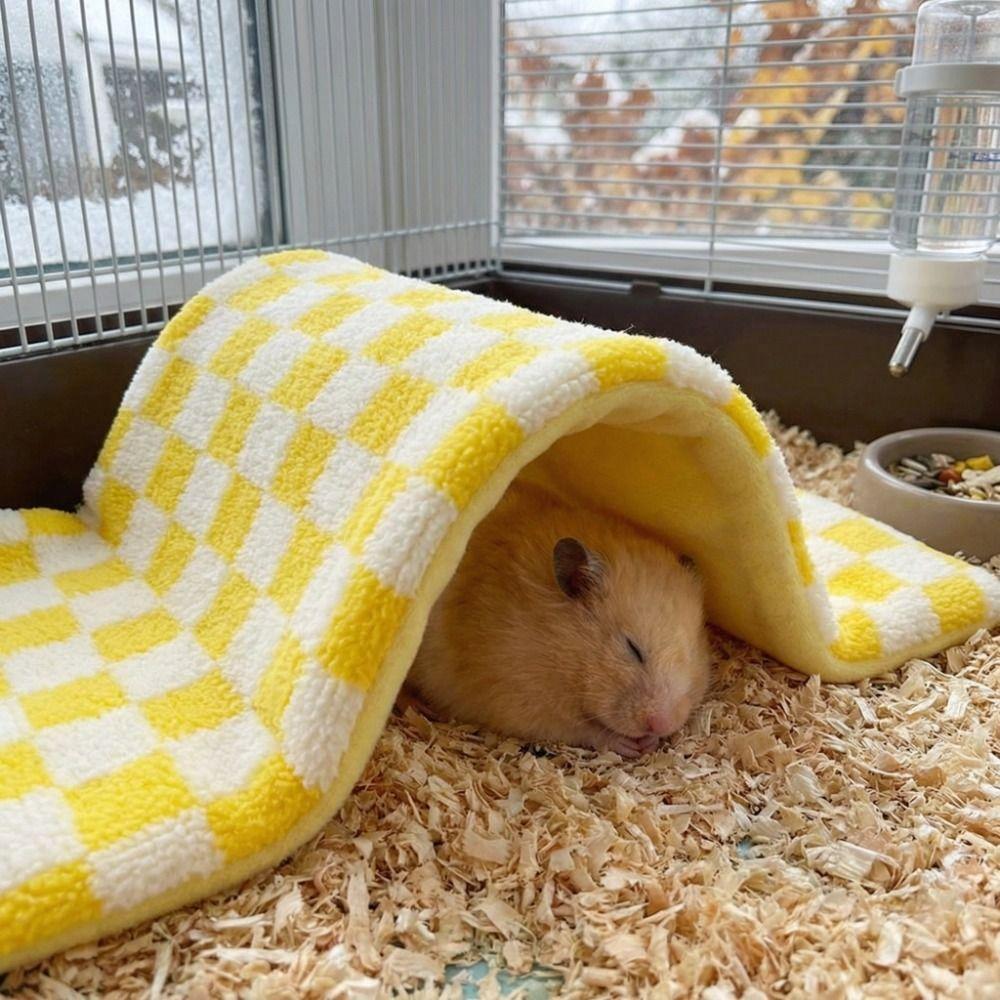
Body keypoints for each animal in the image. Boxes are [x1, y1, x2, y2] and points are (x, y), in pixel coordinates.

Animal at [403, 480, 710, 757]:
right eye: (632, 648)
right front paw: (628, 744)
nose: (664, 724)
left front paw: (650, 742)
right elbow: (578, 729)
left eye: (693, 652)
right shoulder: (515, 697)